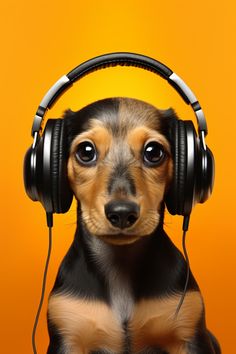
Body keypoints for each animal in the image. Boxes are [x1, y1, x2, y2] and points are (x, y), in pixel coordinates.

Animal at [46, 97, 221, 354]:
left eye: (154, 152)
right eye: (85, 152)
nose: (122, 213)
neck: (120, 266)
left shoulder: (190, 333)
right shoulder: (67, 335)